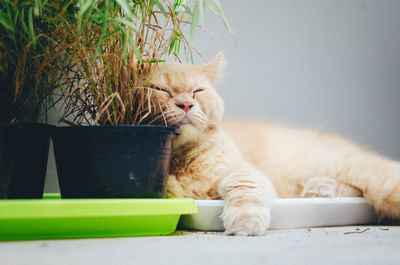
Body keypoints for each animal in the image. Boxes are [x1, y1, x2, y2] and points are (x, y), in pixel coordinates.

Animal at [147, 52, 400, 235]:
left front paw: (244, 224)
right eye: (160, 90)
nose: (186, 104)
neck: (179, 160)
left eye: (197, 91)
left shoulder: (244, 172)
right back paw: (319, 190)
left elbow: (245, 190)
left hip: (370, 176)